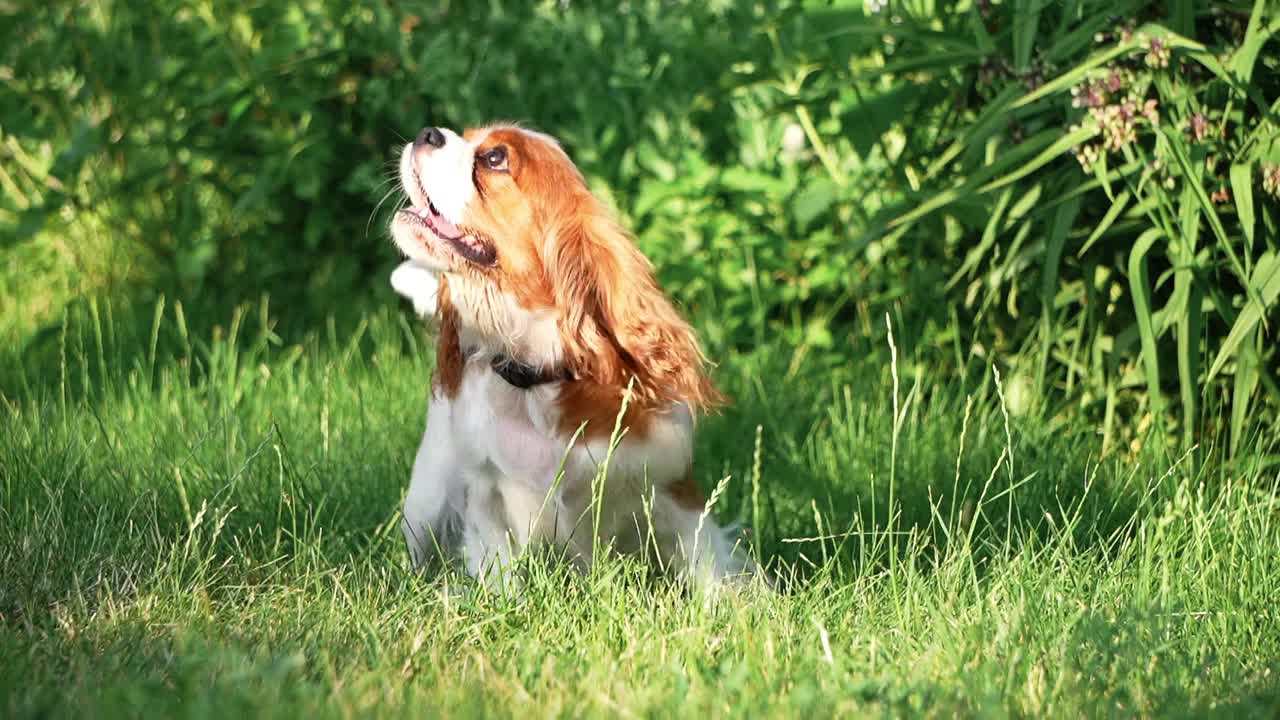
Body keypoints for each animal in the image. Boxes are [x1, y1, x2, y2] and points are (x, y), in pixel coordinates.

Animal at [386, 122, 747, 589]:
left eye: (495, 158)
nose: (428, 132)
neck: (535, 376)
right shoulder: (486, 500)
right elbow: (499, 573)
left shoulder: (673, 488)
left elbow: (709, 565)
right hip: (425, 501)